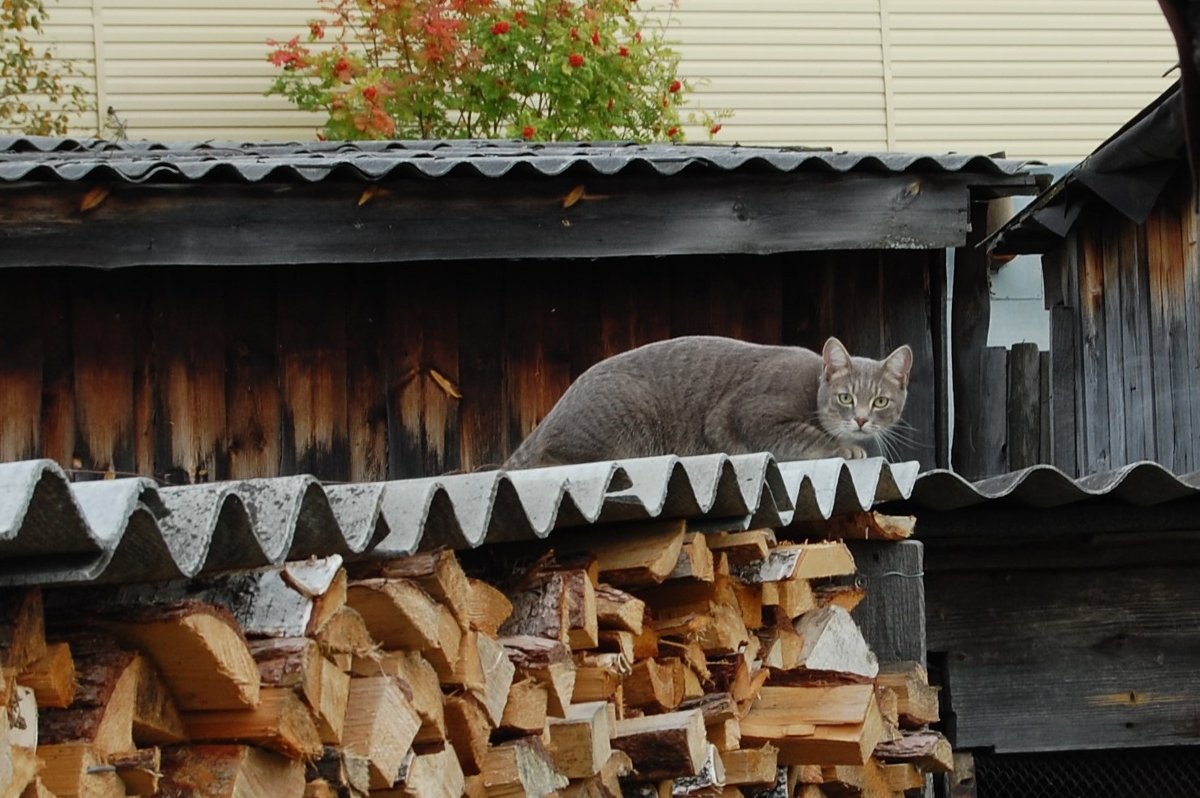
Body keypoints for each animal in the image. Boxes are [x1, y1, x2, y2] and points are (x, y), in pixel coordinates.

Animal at [504, 333, 907, 470]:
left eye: (881, 402)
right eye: (846, 397)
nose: (861, 420)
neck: (812, 387)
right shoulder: (746, 415)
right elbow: (809, 436)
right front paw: (846, 447)